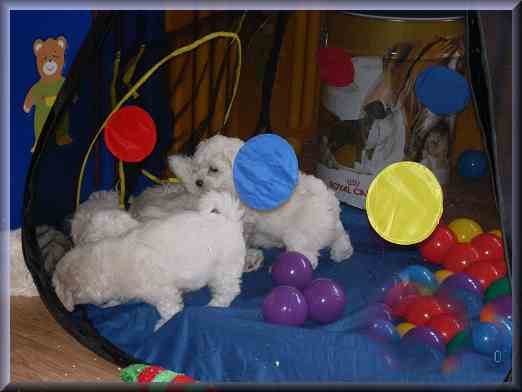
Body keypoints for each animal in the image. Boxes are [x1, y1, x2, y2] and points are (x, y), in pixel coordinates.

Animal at [52, 190, 246, 330]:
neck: (104, 265)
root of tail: (230, 219)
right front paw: (111, 304)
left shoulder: (162, 292)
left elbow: (169, 309)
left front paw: (163, 325)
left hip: (225, 270)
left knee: (228, 291)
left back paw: (214, 305)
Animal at [167, 135, 354, 270]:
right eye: (196, 168)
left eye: (213, 170)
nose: (198, 182)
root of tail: (329, 202)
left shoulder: (244, 217)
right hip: (327, 228)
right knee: (341, 235)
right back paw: (342, 252)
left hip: (300, 234)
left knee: (308, 255)